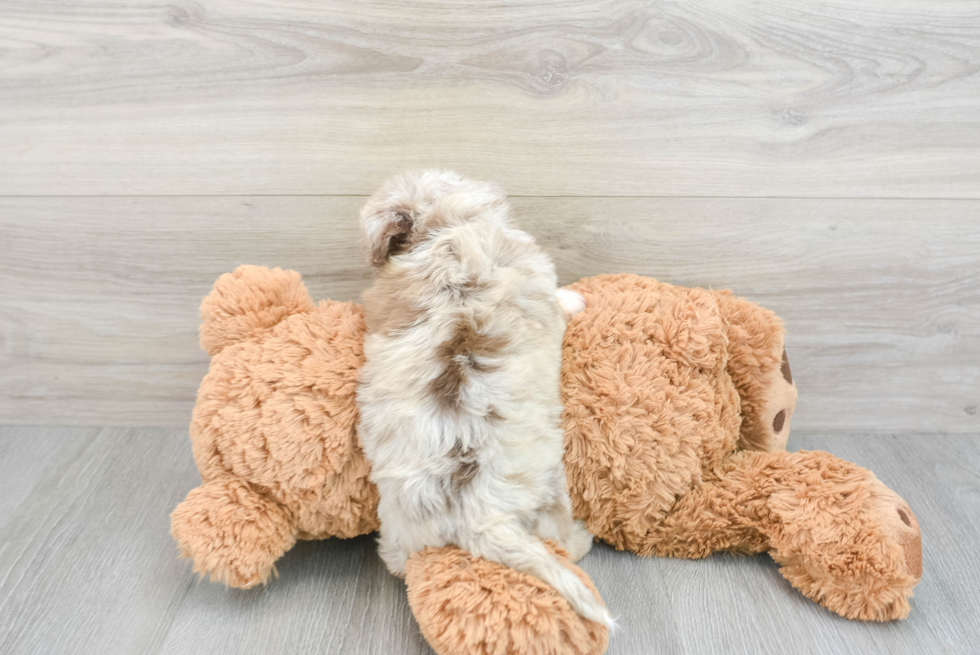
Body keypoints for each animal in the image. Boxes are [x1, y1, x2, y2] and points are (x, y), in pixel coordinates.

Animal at [356, 170, 608, 632]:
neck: (447, 230)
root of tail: (474, 517)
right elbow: (558, 300)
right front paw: (576, 299)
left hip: (401, 528)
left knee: (398, 559)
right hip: (551, 493)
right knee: (561, 537)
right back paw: (582, 538)